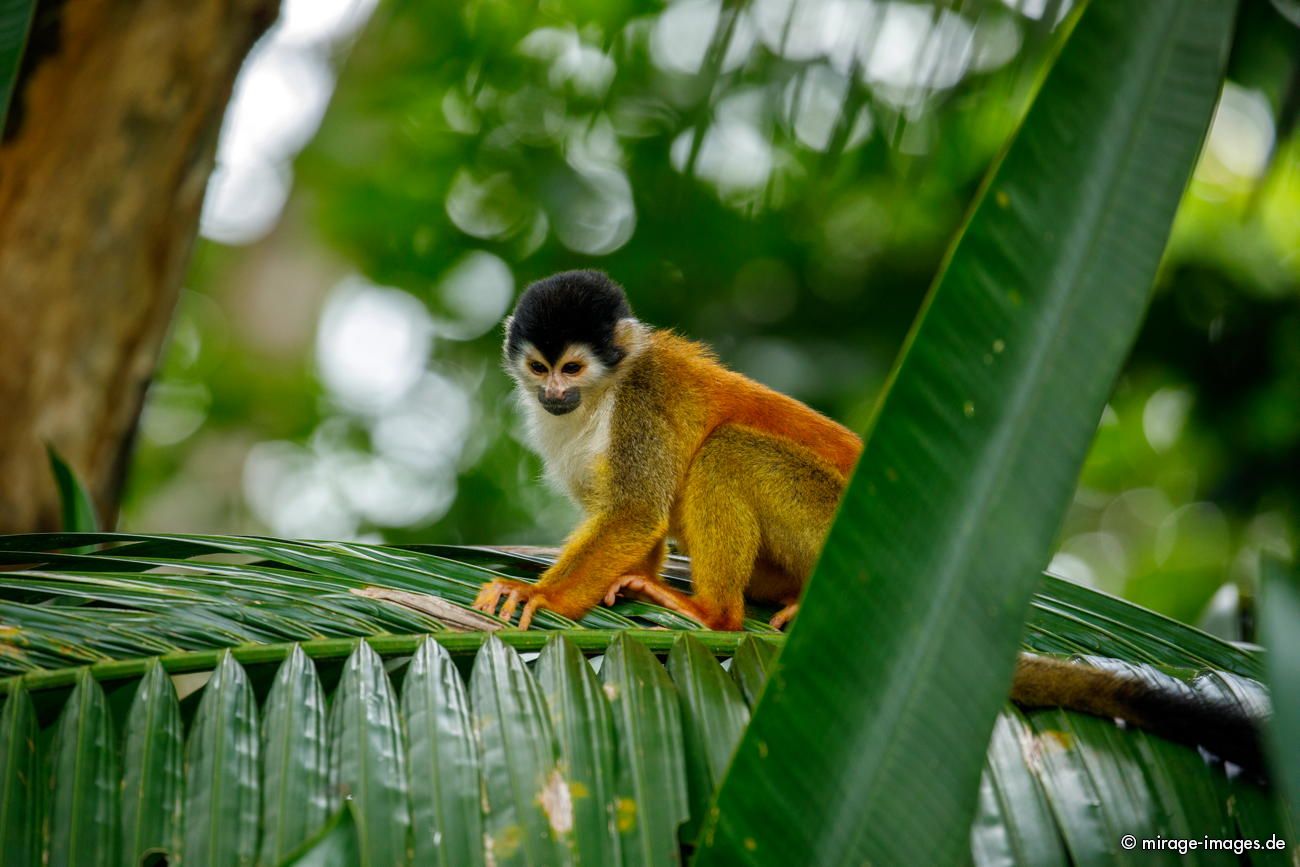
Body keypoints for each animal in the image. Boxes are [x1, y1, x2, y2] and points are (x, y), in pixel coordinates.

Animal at [470, 269, 863, 631]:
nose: (553, 393)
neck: (602, 392)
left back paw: (715, 613)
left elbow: (636, 513)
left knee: (727, 451)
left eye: (572, 368)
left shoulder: (639, 402)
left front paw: (541, 595)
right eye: (539, 368)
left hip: (832, 521)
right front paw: (625, 586)